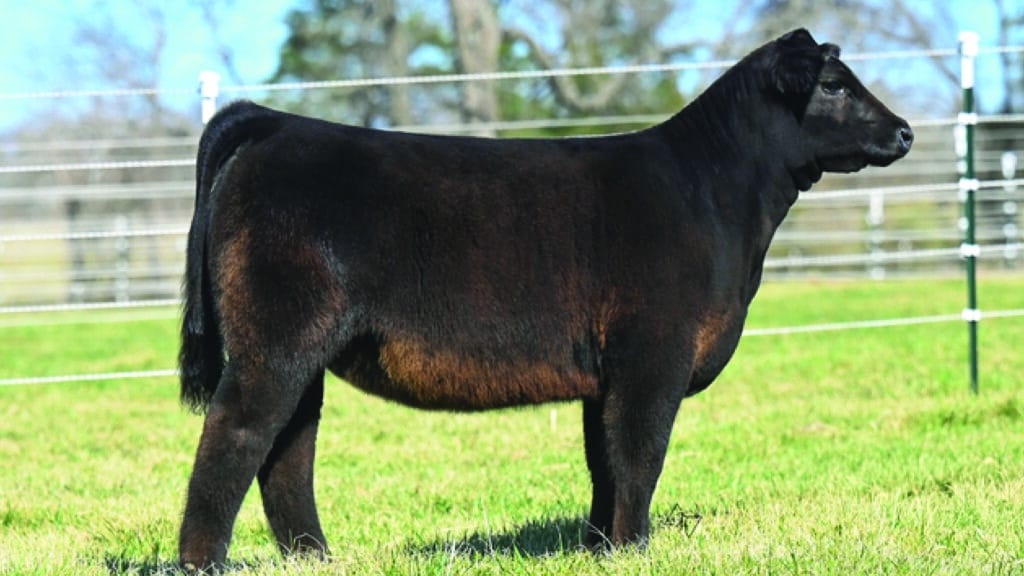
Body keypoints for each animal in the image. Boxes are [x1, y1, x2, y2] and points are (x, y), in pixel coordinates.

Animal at [176, 28, 912, 570]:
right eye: (833, 85)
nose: (904, 130)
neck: (712, 194)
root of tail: (278, 125)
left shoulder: (606, 371)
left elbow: (604, 460)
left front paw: (600, 547)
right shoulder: (653, 355)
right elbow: (639, 453)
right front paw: (636, 548)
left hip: (305, 354)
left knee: (288, 453)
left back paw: (317, 557)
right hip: (275, 342)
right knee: (235, 435)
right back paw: (203, 562)